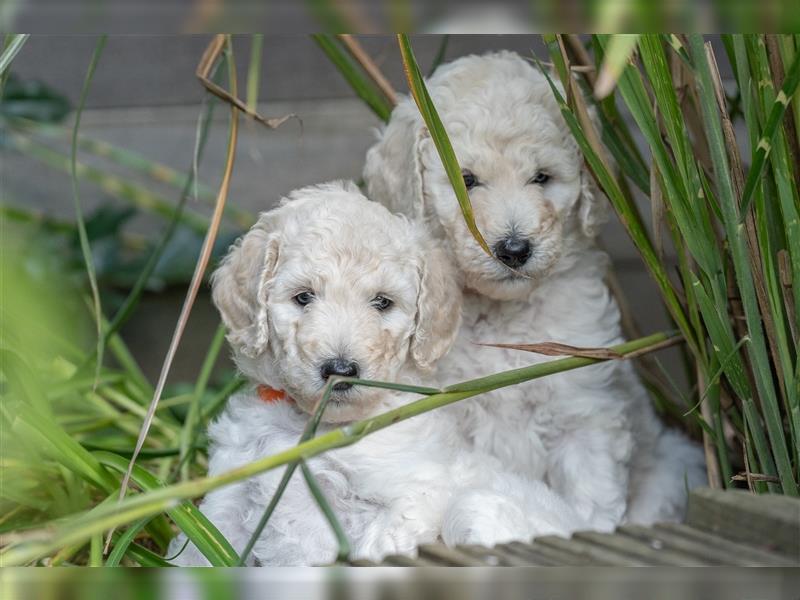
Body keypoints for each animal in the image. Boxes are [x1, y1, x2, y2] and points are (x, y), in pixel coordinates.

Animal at [169, 180, 584, 564]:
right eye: (303, 297)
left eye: (383, 303)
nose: (340, 369)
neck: (314, 427)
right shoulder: (230, 496)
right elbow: (198, 554)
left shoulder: (416, 492)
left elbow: (379, 542)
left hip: (478, 507)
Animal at [362, 50, 708, 528]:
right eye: (466, 180)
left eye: (542, 178)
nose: (514, 249)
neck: (503, 319)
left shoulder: (583, 409)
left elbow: (590, 499)